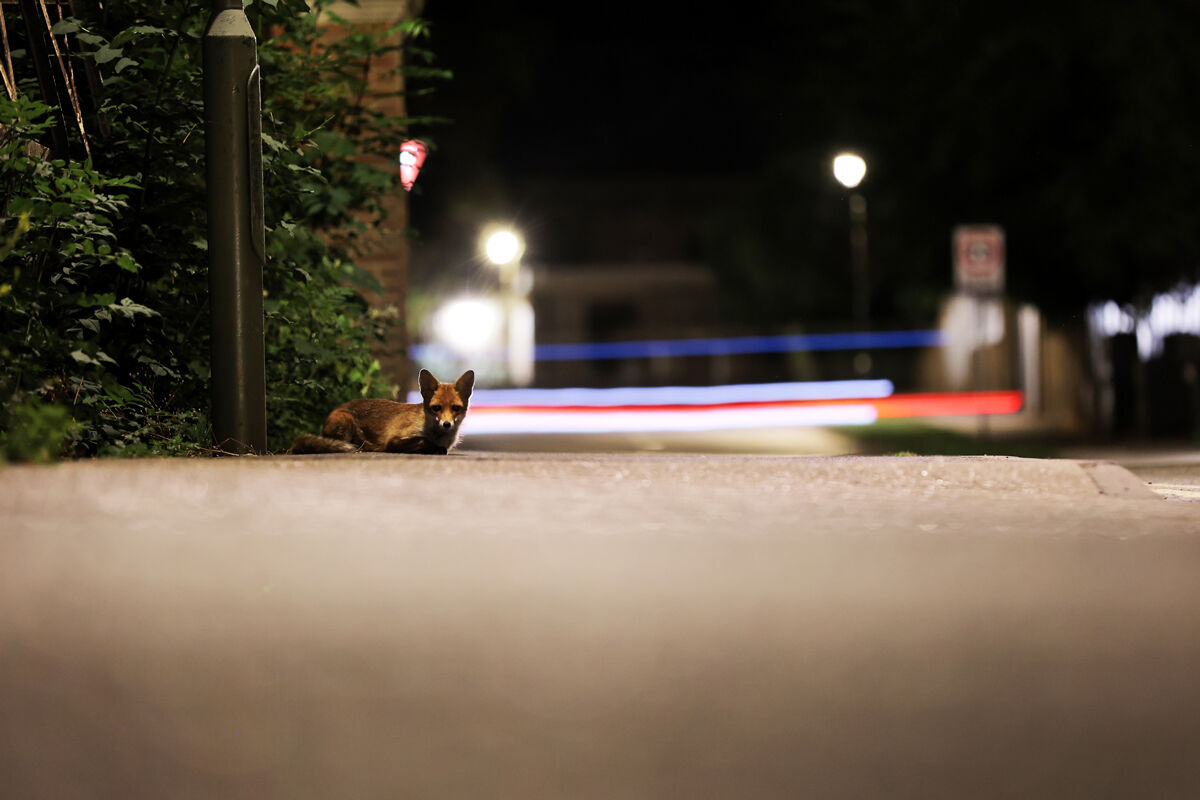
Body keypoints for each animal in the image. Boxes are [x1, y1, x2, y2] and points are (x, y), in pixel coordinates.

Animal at [288, 369, 474, 455]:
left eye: (455, 408)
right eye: (436, 408)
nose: (446, 424)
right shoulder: (393, 440)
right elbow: (423, 441)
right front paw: (431, 448)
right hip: (347, 420)